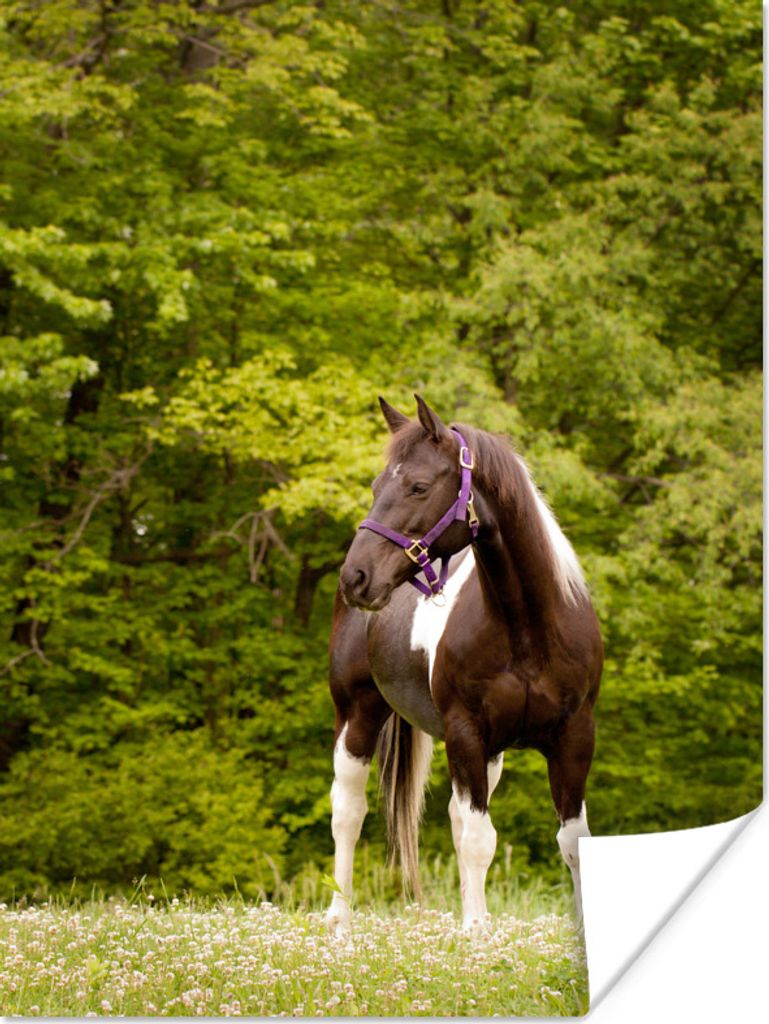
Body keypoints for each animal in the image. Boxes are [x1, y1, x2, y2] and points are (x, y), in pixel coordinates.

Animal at [325, 395, 602, 934]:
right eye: (375, 487)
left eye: (418, 486)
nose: (356, 577)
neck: (527, 629)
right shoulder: (466, 732)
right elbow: (479, 839)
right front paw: (476, 931)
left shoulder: (572, 737)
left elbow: (571, 842)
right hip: (357, 716)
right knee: (348, 812)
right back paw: (338, 920)